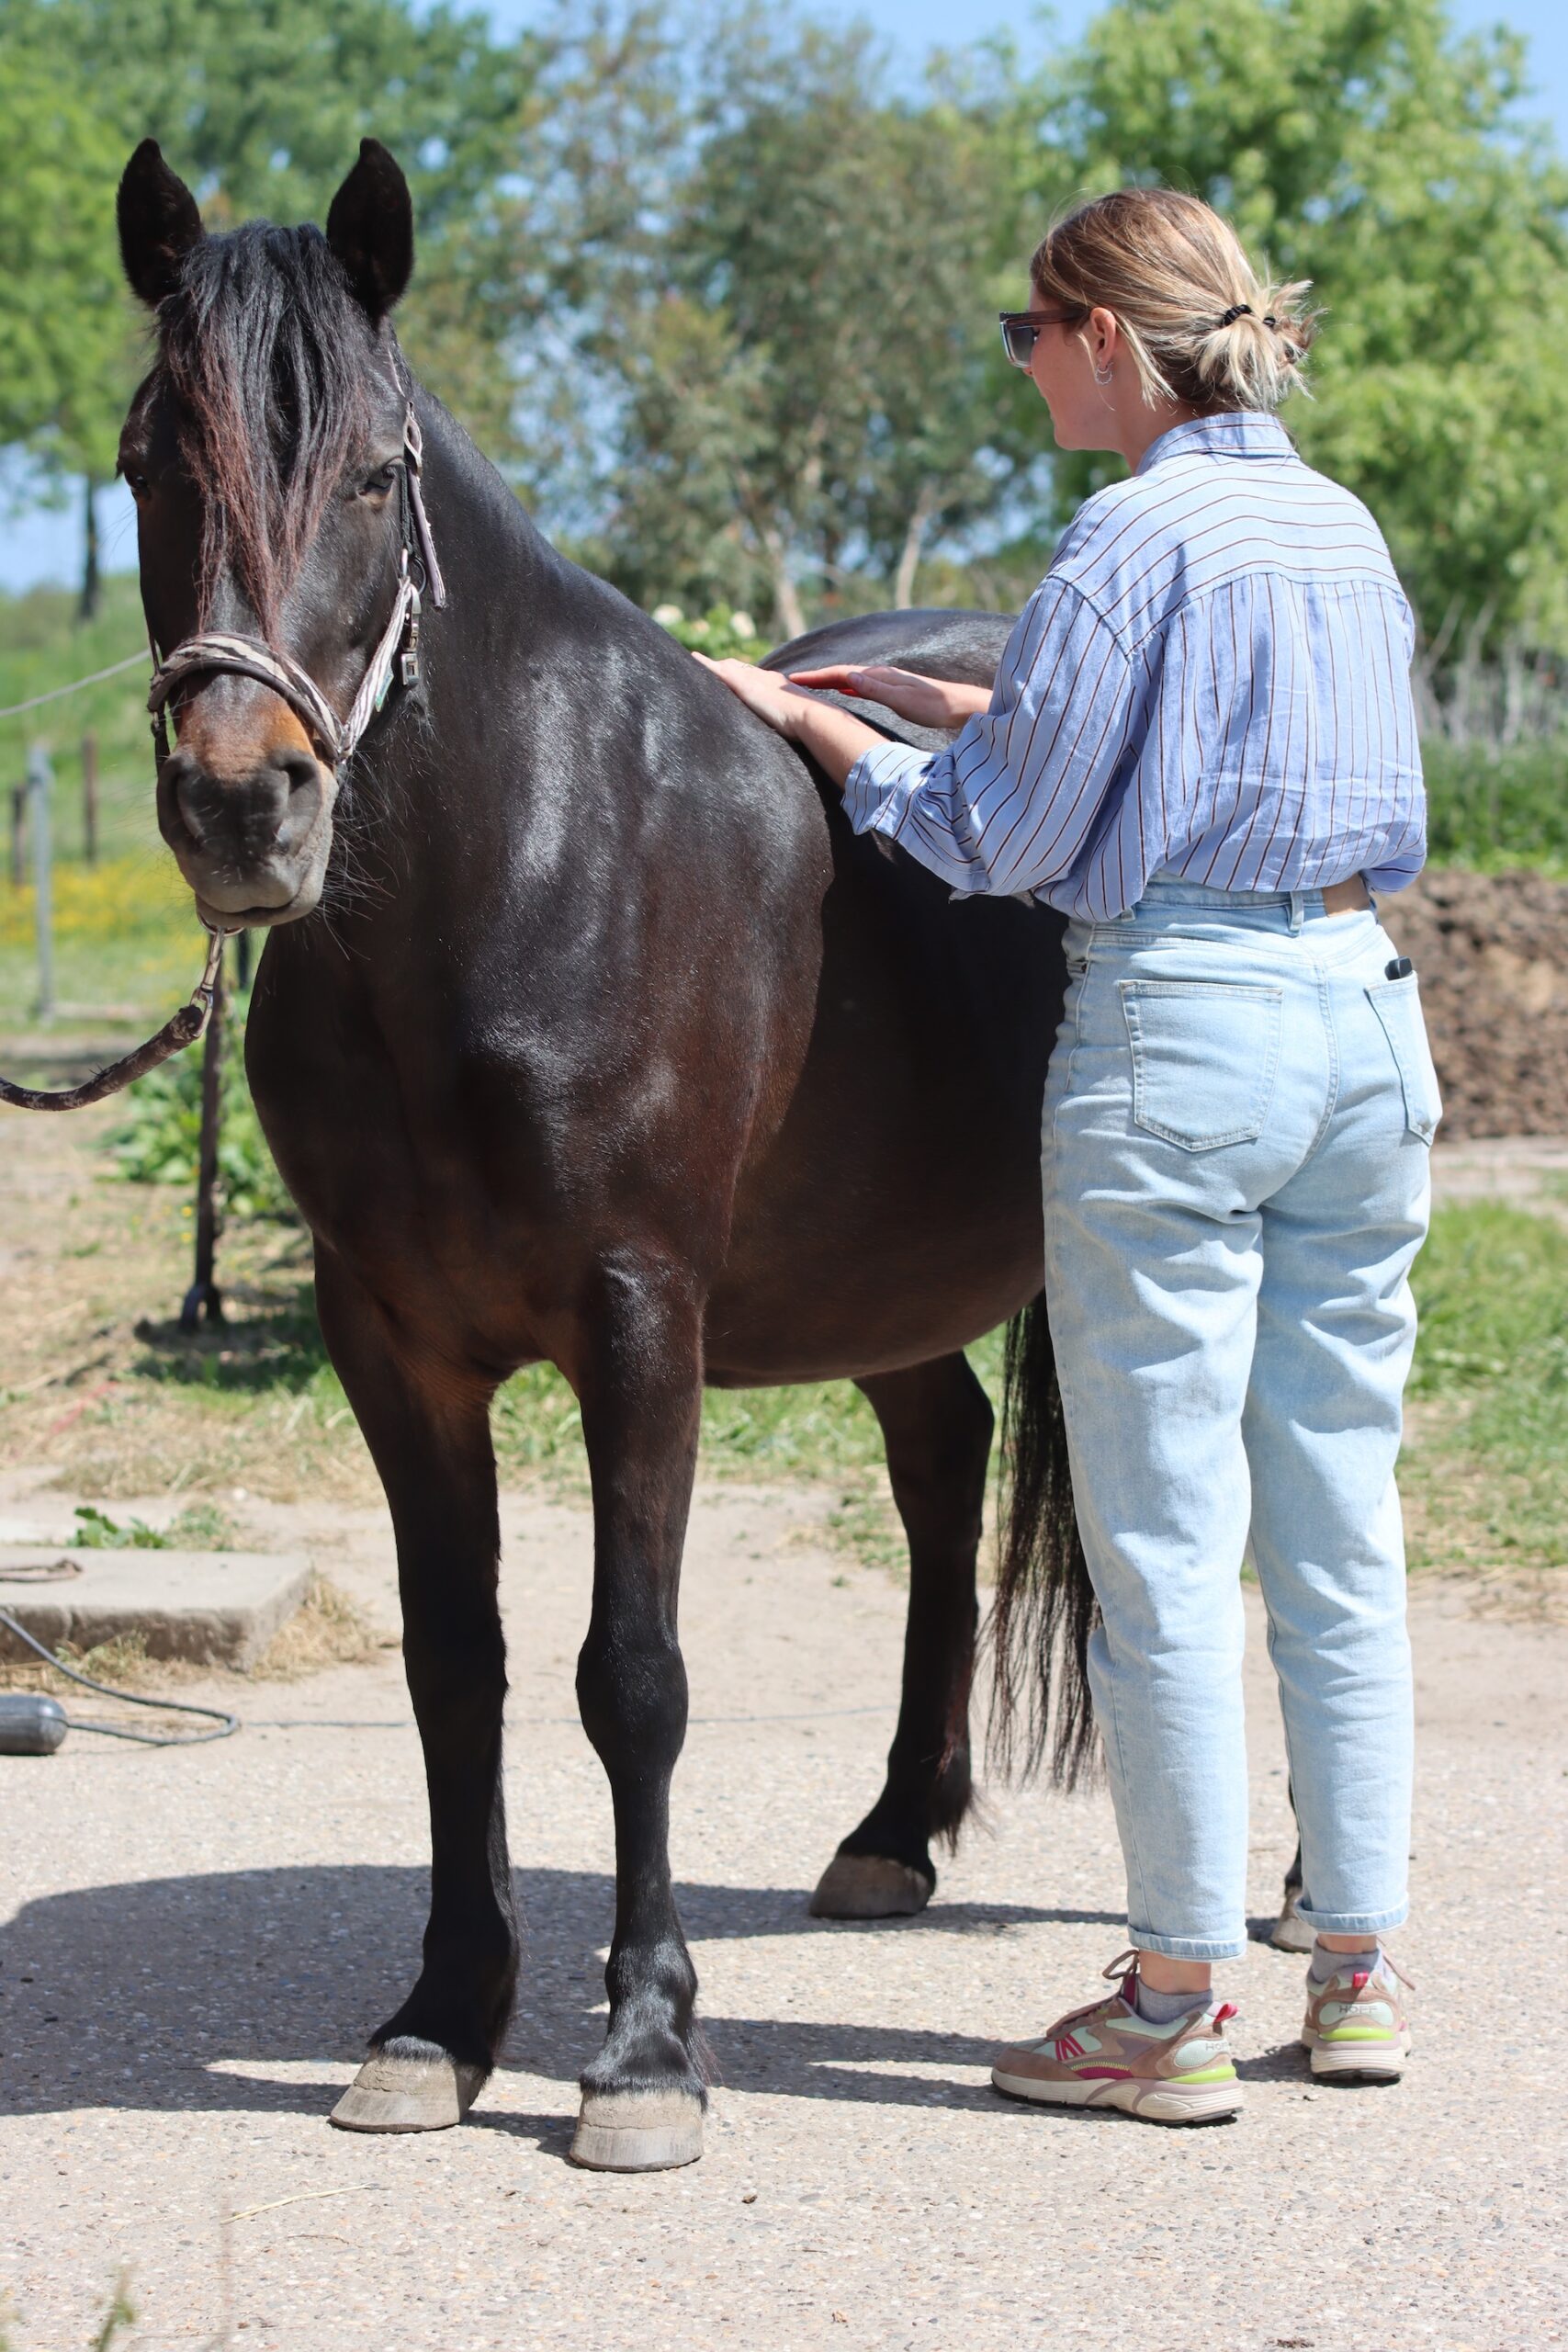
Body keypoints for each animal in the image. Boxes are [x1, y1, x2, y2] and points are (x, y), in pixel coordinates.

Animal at [113, 135, 1286, 2173]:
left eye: (375, 475)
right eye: (142, 460)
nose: (242, 803)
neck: (511, 879)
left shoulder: (639, 1315)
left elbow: (629, 1676)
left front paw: (645, 2045)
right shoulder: (389, 1342)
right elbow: (456, 1666)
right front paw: (443, 2017)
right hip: (886, 1272)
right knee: (941, 1463)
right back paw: (893, 1833)